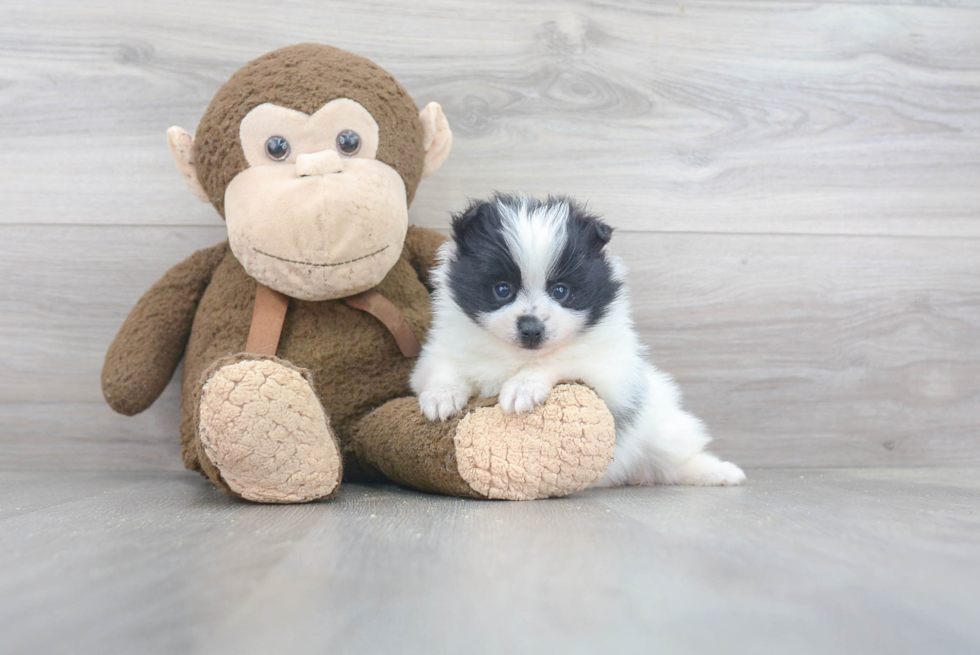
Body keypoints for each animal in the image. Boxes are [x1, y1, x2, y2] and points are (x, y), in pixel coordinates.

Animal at [412, 195, 744, 486]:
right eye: (502, 290)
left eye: (561, 291)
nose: (531, 328)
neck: (518, 356)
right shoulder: (442, 350)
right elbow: (441, 368)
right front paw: (441, 397)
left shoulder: (611, 374)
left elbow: (563, 360)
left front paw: (523, 387)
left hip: (663, 429)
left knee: (679, 458)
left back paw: (721, 472)